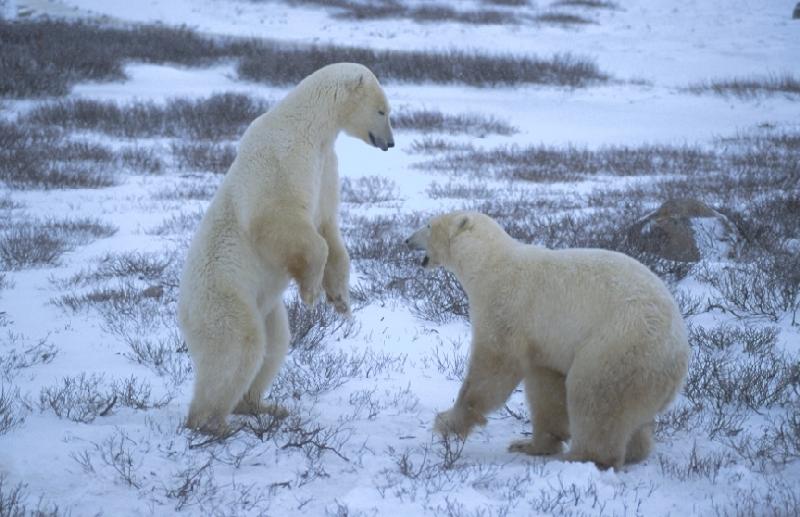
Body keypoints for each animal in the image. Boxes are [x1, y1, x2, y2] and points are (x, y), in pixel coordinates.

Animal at [178, 63, 394, 434]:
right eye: (382, 111)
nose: (390, 143)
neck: (309, 124)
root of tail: (182, 310)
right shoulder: (283, 157)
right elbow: (279, 219)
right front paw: (311, 292)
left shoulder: (326, 164)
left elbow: (328, 225)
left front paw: (340, 299)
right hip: (224, 297)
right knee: (238, 346)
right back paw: (211, 421)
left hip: (266, 307)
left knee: (276, 344)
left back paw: (262, 405)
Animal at [405, 211, 689, 470]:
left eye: (428, 225)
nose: (407, 240)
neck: (488, 264)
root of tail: (678, 353)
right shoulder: (544, 338)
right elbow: (546, 386)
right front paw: (532, 444)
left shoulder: (507, 305)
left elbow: (493, 366)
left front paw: (447, 422)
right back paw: (633, 450)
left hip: (620, 344)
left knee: (595, 397)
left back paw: (582, 457)